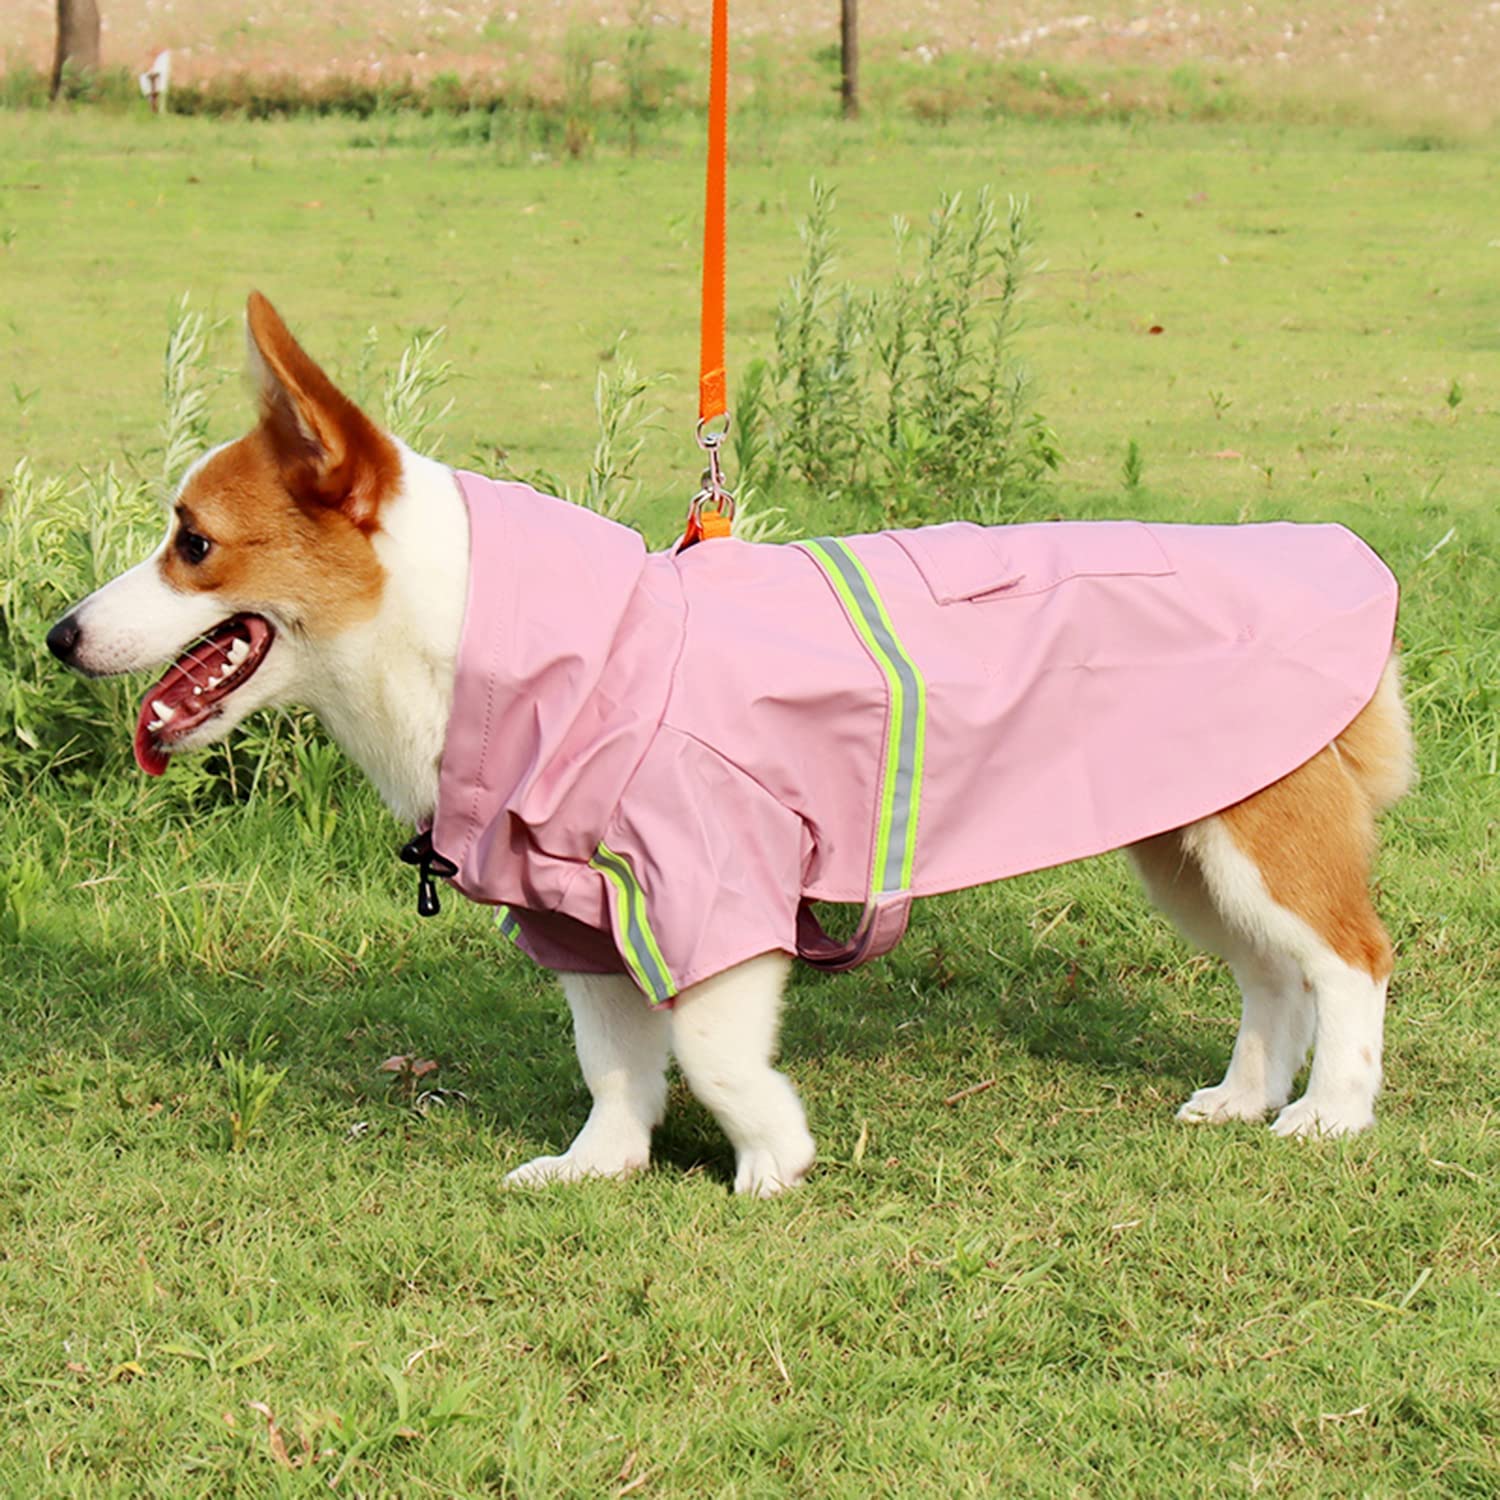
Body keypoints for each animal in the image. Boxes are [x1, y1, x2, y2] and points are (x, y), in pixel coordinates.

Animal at [43, 298, 1404, 1200]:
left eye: (192, 543)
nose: (59, 635)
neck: (463, 641)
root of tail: (1329, 552)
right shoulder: (579, 912)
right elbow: (613, 1061)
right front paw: (601, 1165)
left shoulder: (715, 887)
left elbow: (707, 1048)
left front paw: (772, 1159)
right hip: (1188, 841)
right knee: (1272, 978)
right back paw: (1246, 1095)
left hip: (1262, 839)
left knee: (1350, 964)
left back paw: (1332, 1114)